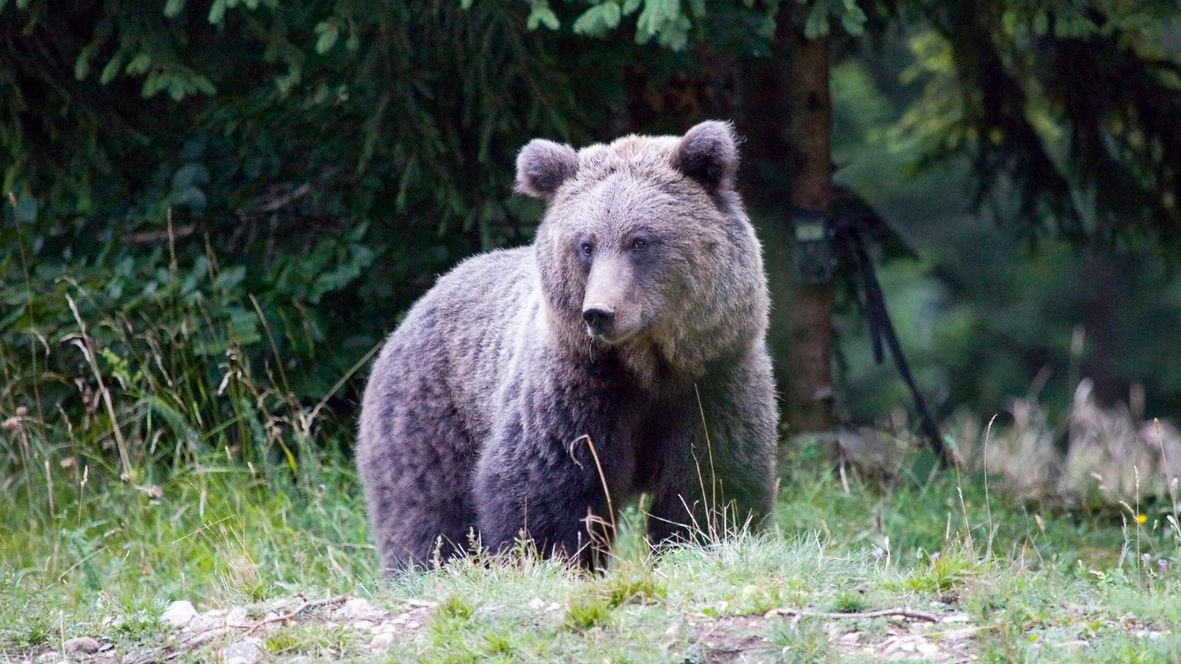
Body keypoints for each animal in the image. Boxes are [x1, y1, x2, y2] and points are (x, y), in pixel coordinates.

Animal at [356, 120, 778, 572]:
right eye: (585, 244)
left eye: (640, 241)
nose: (599, 312)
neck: (648, 366)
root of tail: (424, 298)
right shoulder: (575, 389)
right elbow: (548, 489)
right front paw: (553, 560)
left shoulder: (712, 382)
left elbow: (710, 482)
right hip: (434, 412)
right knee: (428, 510)